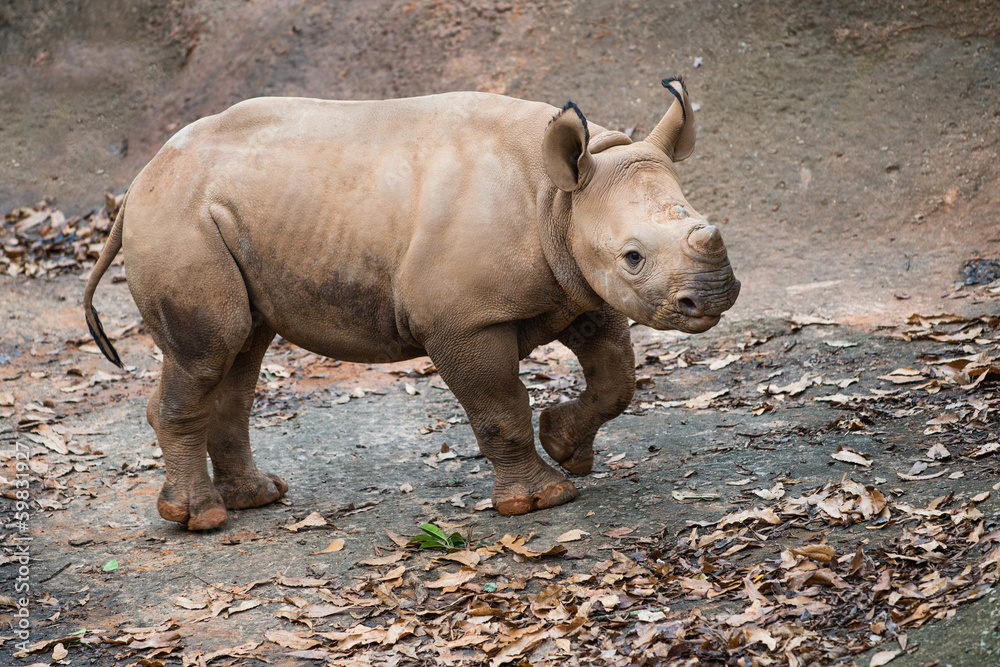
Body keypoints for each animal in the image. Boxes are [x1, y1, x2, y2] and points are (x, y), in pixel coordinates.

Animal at [84, 78, 740, 530]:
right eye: (633, 256)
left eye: (706, 220)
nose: (713, 297)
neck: (560, 198)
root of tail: (137, 185)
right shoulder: (462, 322)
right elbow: (499, 406)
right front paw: (540, 500)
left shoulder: (577, 285)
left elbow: (616, 380)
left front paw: (563, 446)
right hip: (178, 219)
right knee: (208, 352)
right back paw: (201, 519)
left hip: (222, 217)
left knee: (242, 350)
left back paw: (258, 497)